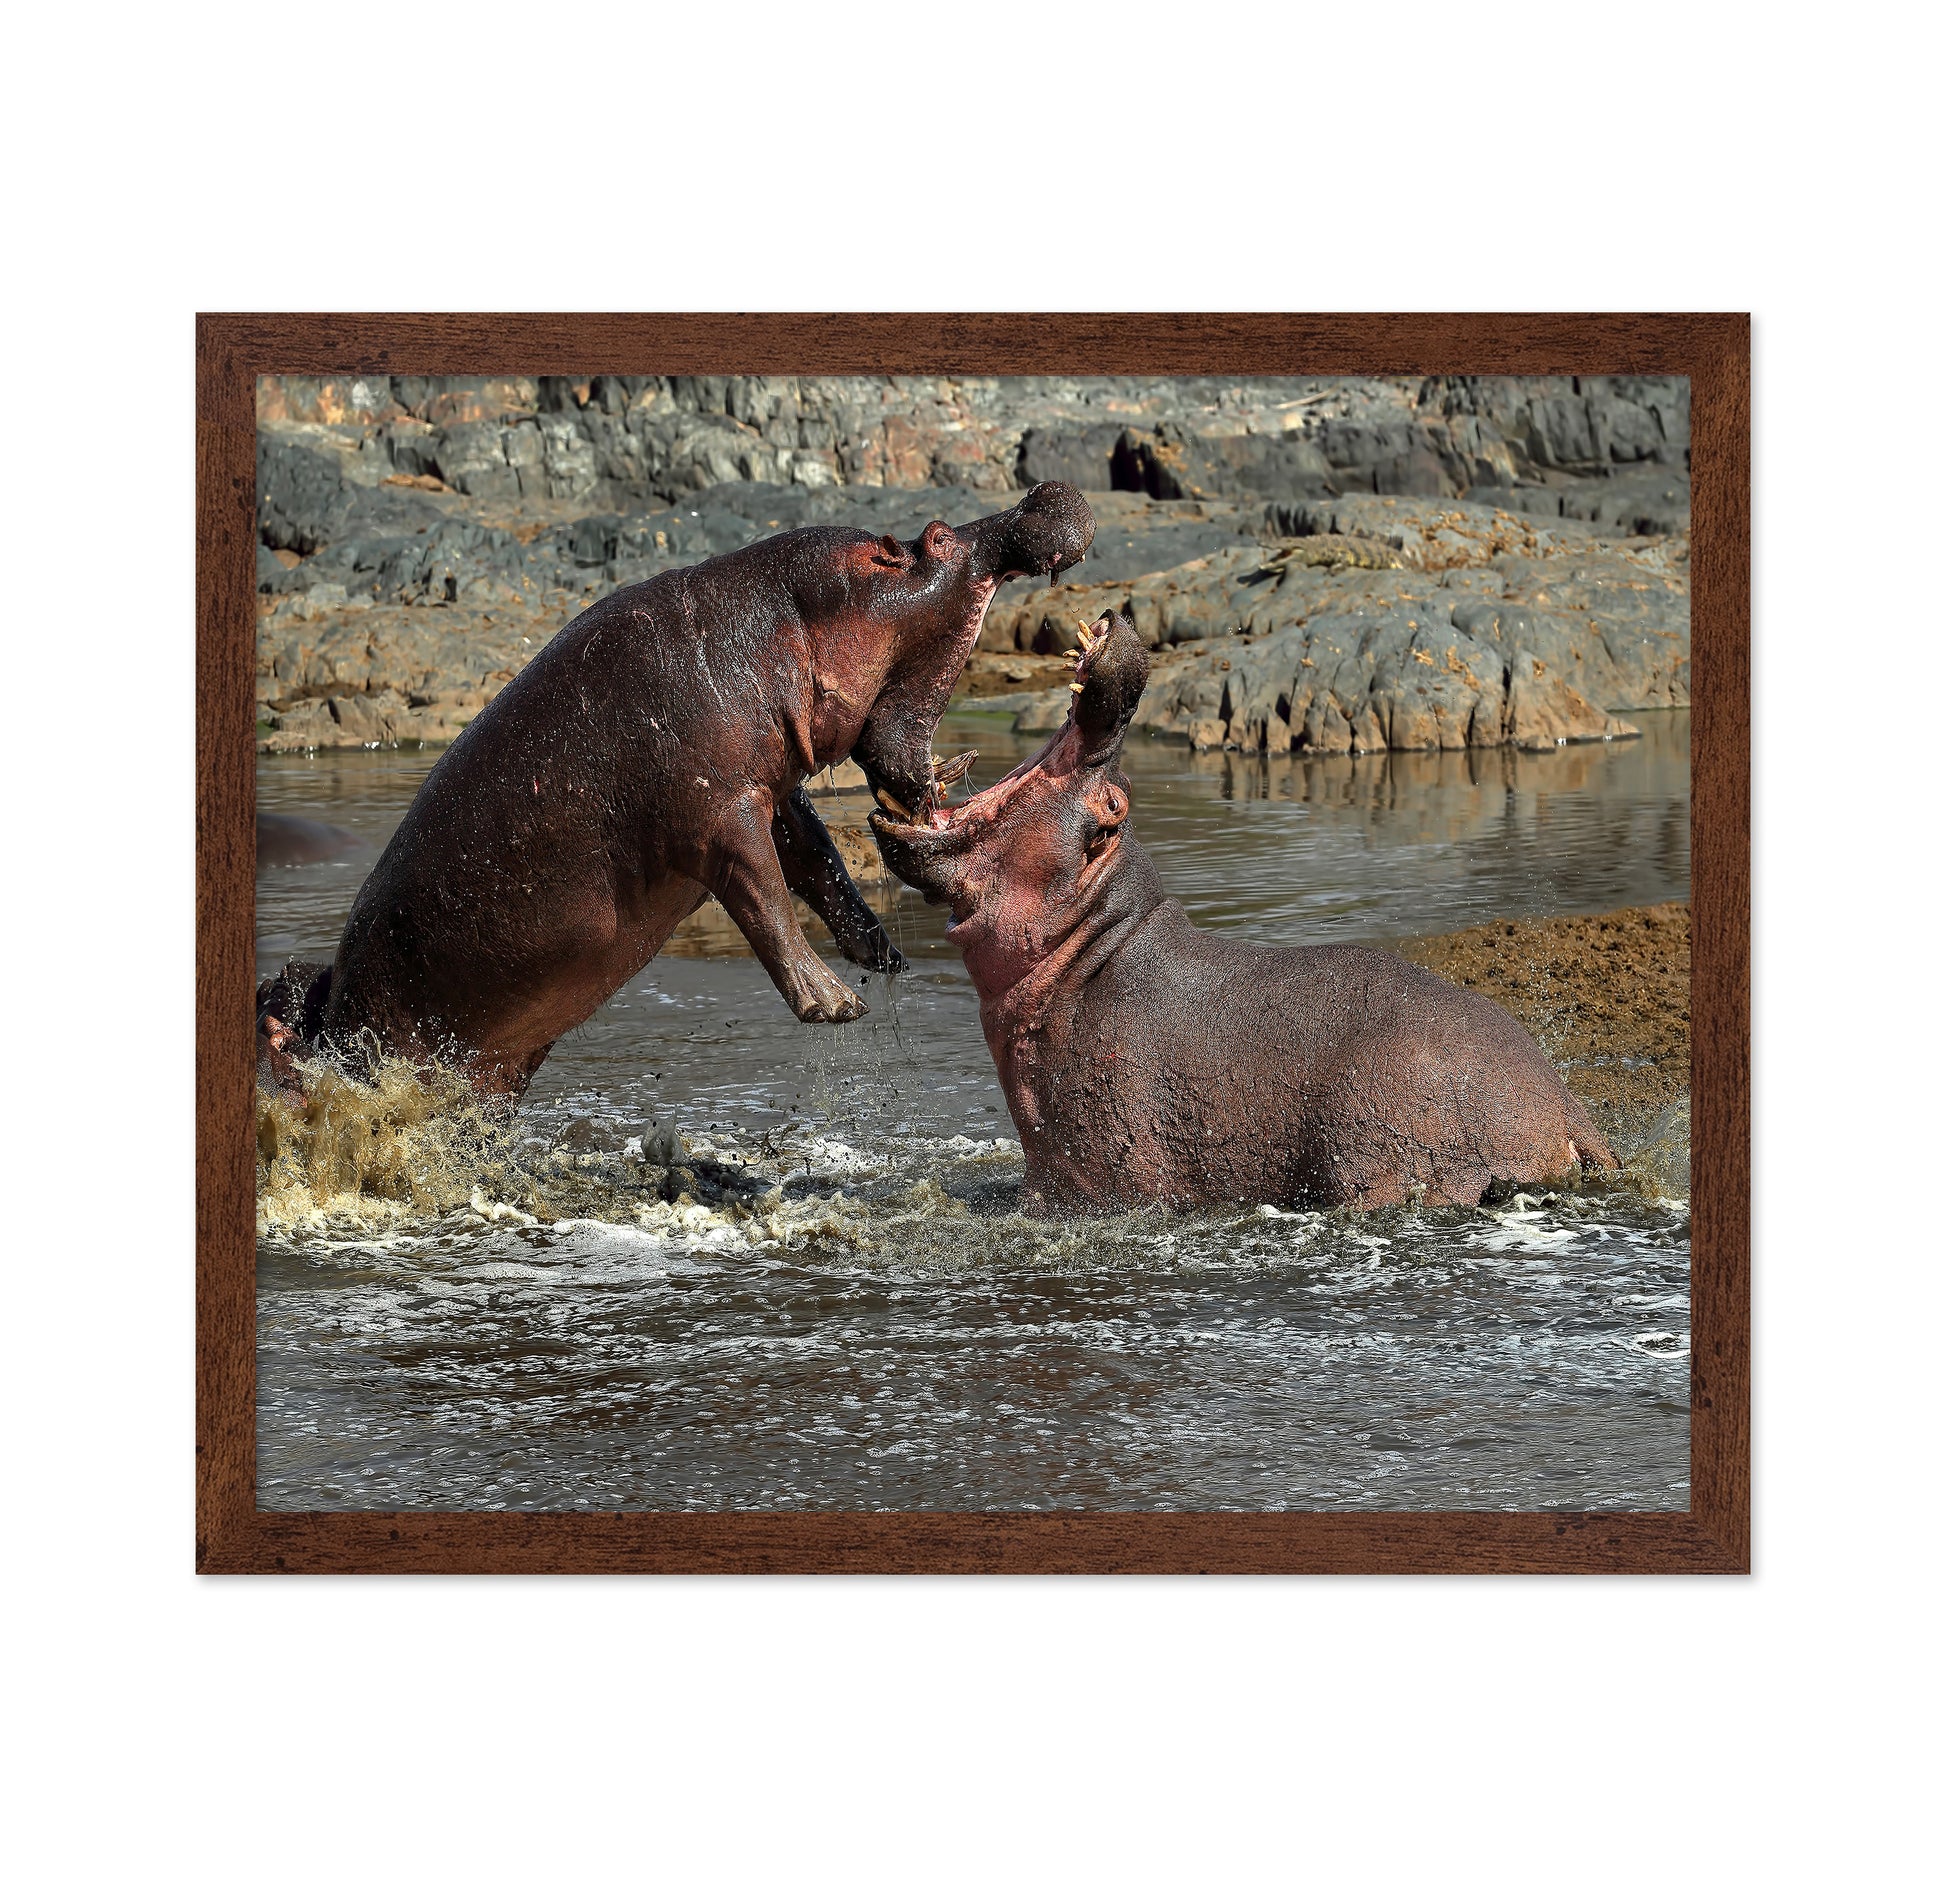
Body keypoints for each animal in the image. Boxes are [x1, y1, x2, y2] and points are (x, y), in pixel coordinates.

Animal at [259, 484, 1096, 1098]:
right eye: (937, 537)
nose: (1041, 492)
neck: (783, 623)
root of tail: (325, 1020)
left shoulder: (772, 790)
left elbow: (819, 861)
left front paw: (881, 953)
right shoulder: (719, 812)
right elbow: (764, 896)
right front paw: (836, 1003)